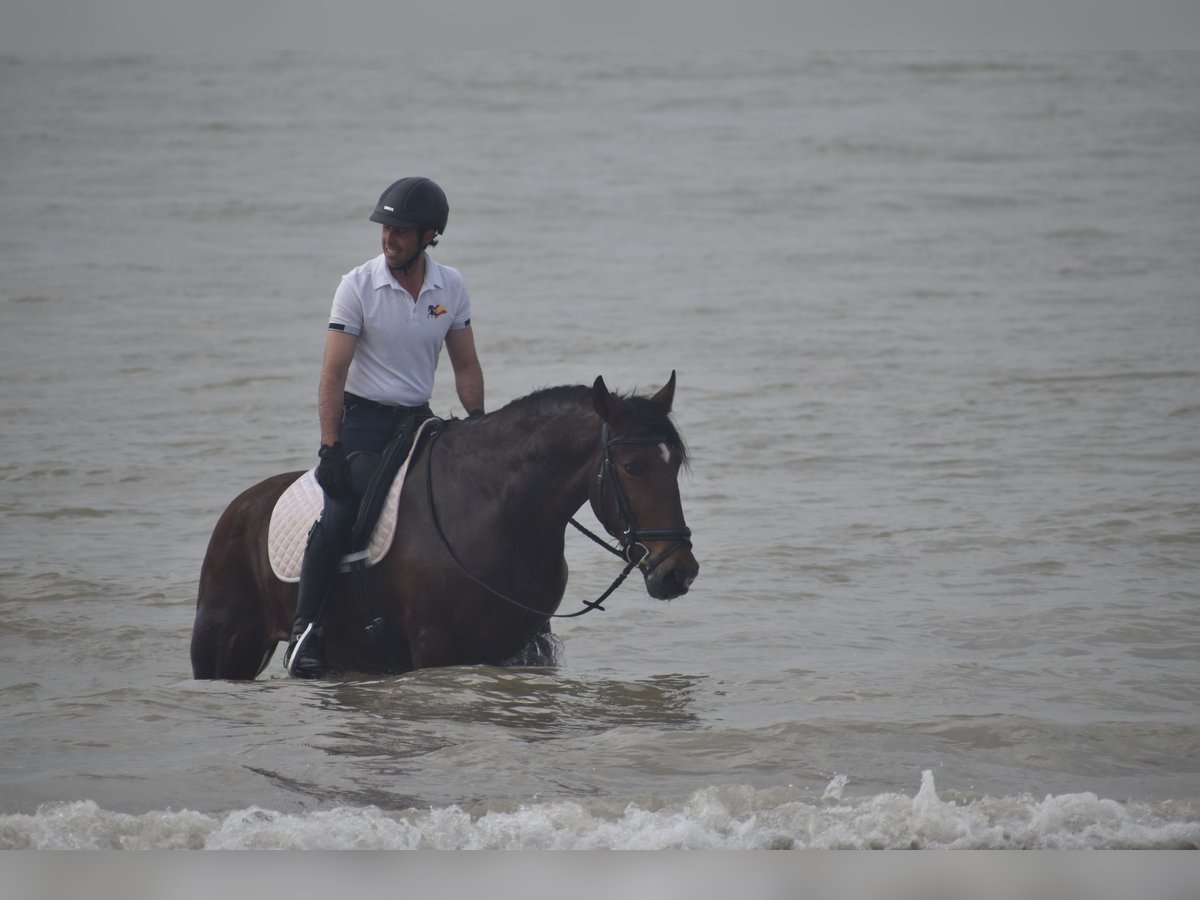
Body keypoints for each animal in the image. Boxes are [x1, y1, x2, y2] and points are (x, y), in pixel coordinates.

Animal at [186, 374, 696, 681]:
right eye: (631, 467)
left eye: (675, 466)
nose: (679, 572)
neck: (501, 515)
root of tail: (241, 507)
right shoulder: (438, 650)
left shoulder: (522, 651)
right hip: (225, 647)